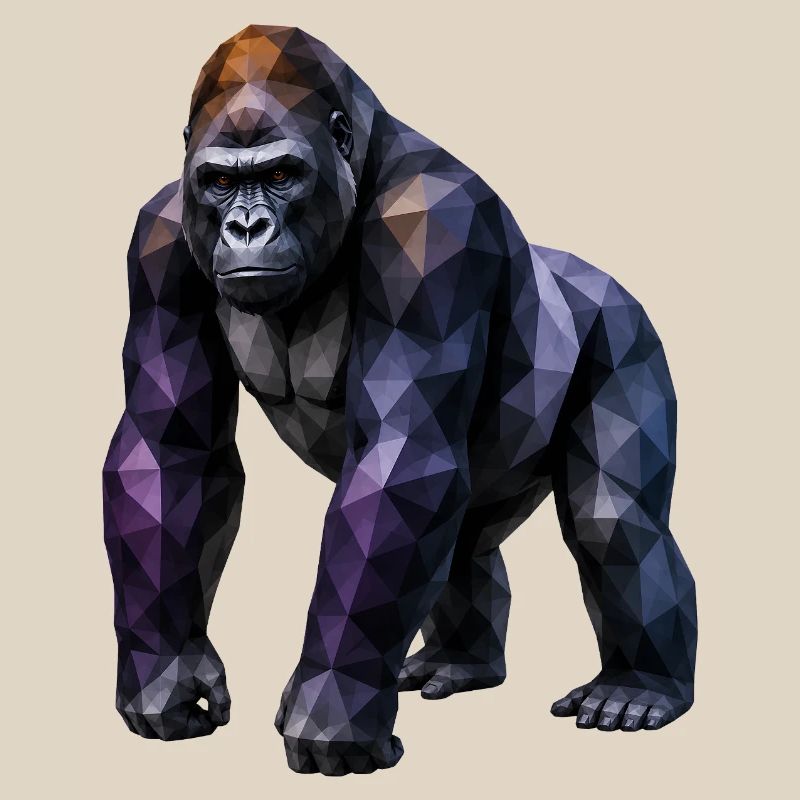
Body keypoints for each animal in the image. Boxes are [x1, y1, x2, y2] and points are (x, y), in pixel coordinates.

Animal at [103, 25, 697, 776]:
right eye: (220, 181)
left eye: (280, 175)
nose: (245, 228)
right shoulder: (156, 243)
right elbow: (169, 453)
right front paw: (167, 675)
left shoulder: (434, 228)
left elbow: (402, 458)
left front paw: (332, 711)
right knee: (466, 537)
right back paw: (461, 660)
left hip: (627, 329)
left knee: (612, 519)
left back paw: (641, 687)